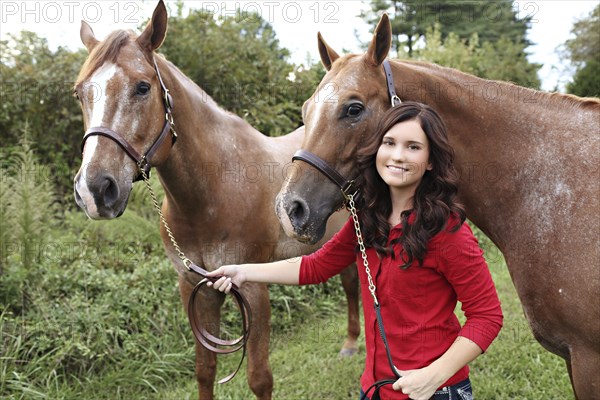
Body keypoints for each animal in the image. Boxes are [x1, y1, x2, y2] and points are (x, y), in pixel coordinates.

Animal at [72, 1, 358, 398]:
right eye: (80, 93)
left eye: (143, 87)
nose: (95, 190)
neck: (215, 190)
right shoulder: (196, 287)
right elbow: (205, 370)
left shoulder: (252, 288)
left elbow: (259, 377)